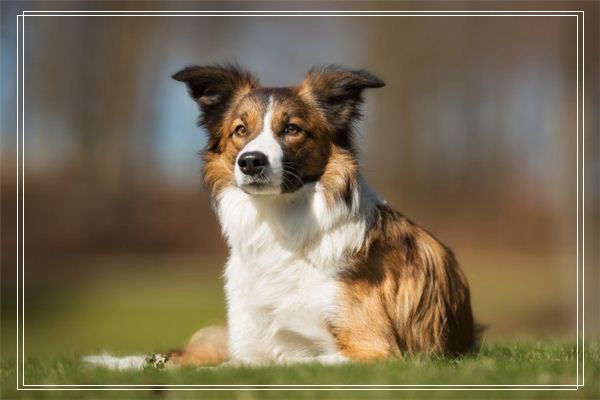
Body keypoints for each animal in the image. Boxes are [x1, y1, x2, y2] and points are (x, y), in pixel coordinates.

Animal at [86, 65, 476, 368]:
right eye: (240, 130)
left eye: (291, 129)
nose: (251, 161)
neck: (279, 229)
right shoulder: (248, 346)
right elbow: (215, 366)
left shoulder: (374, 350)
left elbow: (288, 361)